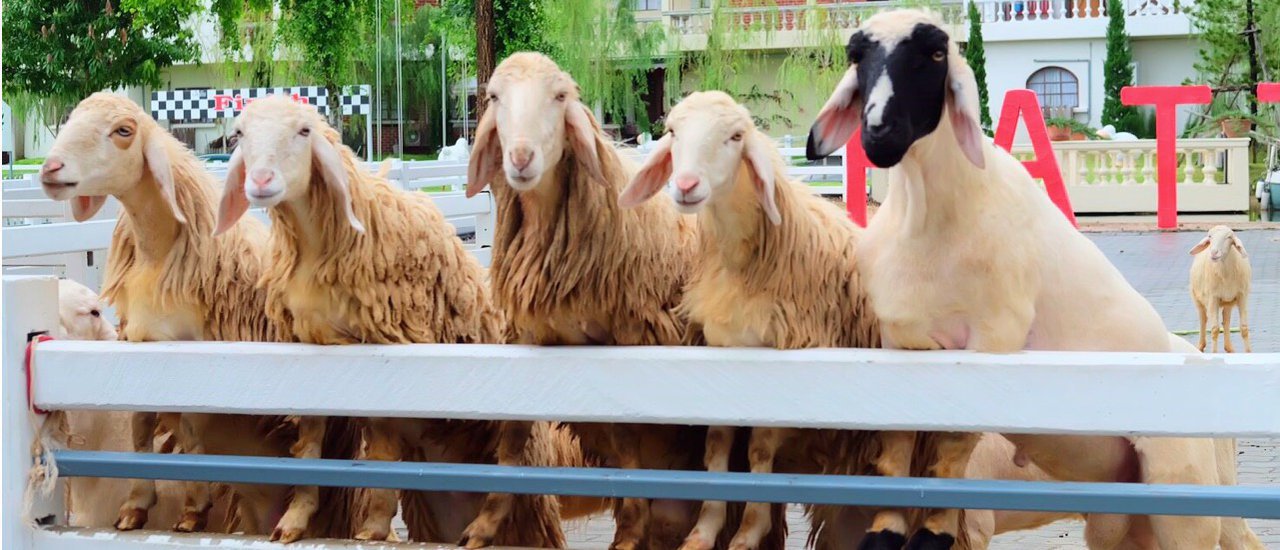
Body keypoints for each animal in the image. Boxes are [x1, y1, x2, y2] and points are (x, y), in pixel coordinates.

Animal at [38, 93, 353, 540]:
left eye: (123, 131)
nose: (50, 169)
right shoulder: (142, 344)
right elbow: (142, 424)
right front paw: (138, 504)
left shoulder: (193, 351)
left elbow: (187, 426)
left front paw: (193, 507)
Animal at [213, 94, 572, 546]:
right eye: (240, 134)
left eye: (304, 131)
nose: (260, 181)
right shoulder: (311, 350)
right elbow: (310, 441)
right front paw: (297, 516)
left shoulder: (388, 359)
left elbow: (382, 452)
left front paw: (373, 527)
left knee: (511, 462)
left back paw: (485, 524)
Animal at [460, 51, 708, 550]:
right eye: (494, 97)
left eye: (560, 96)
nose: (521, 157)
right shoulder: (528, 337)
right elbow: (513, 435)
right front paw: (485, 522)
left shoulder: (628, 336)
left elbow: (627, 433)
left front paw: (630, 526)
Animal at [806, 9, 1257, 549]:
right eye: (857, 55)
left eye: (935, 53)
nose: (878, 131)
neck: (929, 218)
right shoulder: (900, 341)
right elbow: (898, 438)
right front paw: (886, 528)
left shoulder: (994, 337)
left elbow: (954, 441)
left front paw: (932, 529)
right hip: (1126, 523)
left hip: (1184, 500)